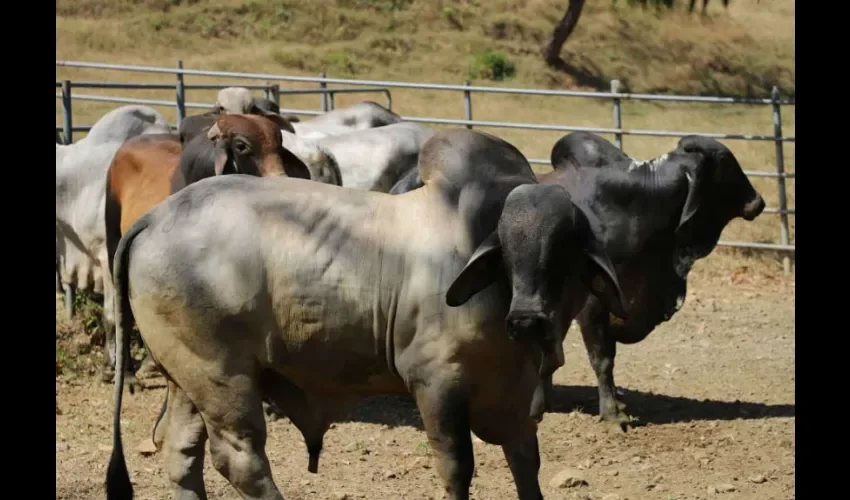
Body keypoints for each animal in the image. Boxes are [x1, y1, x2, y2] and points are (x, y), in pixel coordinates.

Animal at [106, 129, 628, 500]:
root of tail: (155, 216)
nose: (528, 320)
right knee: (240, 458)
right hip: (222, 377)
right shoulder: (437, 385)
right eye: (508, 245)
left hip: (185, 378)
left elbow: (526, 464)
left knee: (180, 452)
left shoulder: (516, 398)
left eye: (563, 249)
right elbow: (457, 468)